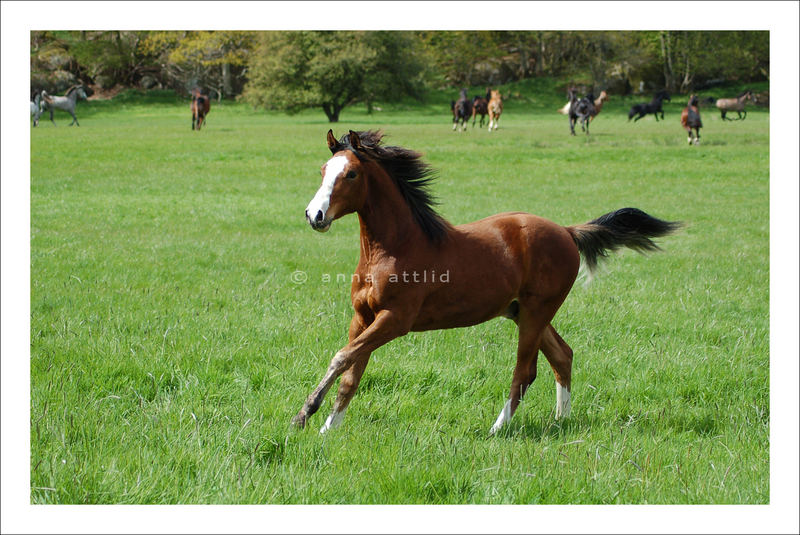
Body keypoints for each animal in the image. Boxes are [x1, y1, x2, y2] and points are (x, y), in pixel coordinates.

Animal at [294, 130, 680, 436]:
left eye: (352, 174)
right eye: (323, 170)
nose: (315, 215)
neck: (394, 248)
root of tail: (568, 231)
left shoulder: (396, 319)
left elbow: (342, 357)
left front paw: (305, 414)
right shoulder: (362, 316)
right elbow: (351, 373)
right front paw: (327, 429)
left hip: (536, 311)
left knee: (526, 370)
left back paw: (497, 428)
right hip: (523, 312)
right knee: (562, 356)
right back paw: (561, 421)